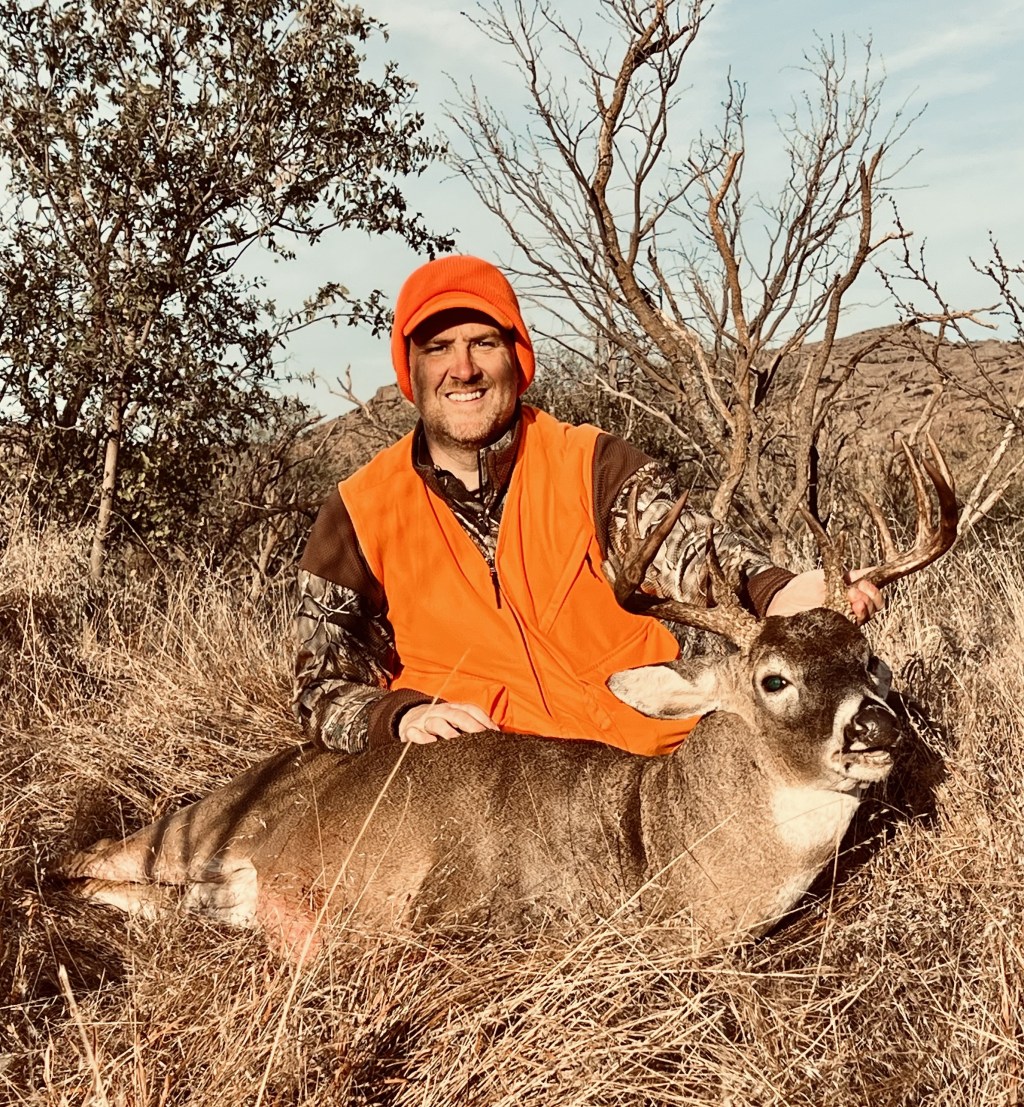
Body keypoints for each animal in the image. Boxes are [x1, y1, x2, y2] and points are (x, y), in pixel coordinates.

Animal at [58, 439, 957, 953]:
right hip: (194, 824)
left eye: (871, 659)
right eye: (774, 678)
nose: (877, 725)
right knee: (83, 859)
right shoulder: (458, 905)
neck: (655, 846)